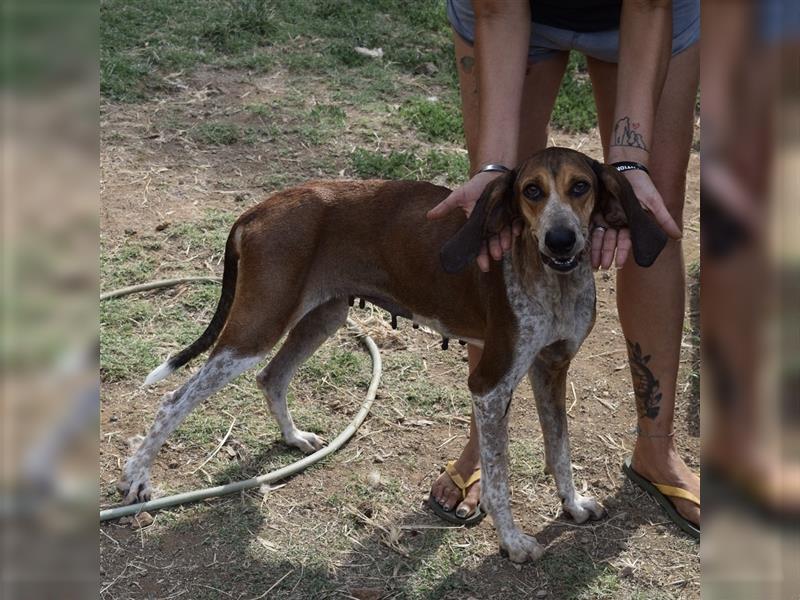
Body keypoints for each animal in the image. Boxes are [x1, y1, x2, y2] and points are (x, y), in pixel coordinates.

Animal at [119, 145, 664, 564]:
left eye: (580, 187)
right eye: (531, 191)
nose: (562, 239)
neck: (553, 279)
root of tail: (259, 209)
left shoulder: (552, 369)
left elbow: (560, 450)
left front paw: (572, 505)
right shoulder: (490, 385)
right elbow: (499, 477)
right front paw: (512, 542)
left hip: (323, 318)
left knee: (272, 378)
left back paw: (294, 438)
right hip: (256, 330)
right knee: (174, 400)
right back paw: (137, 478)